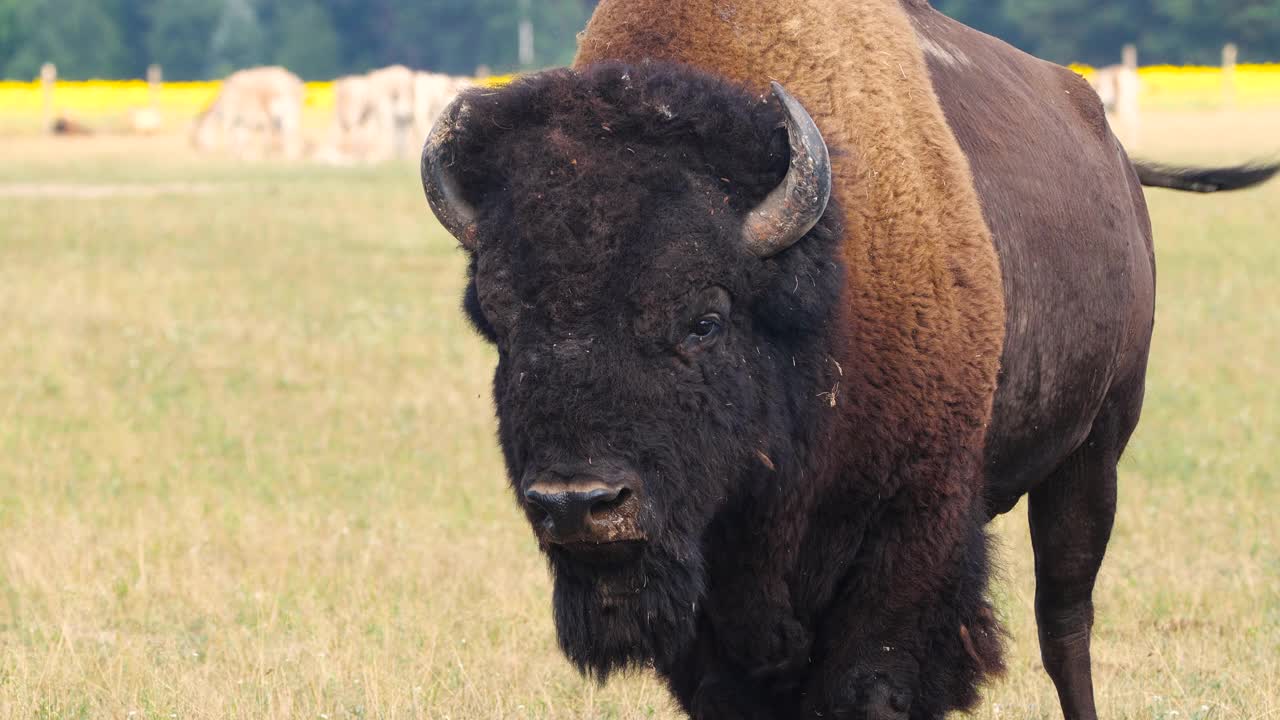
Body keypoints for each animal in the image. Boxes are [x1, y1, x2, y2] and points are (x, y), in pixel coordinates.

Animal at [422, 1, 1280, 717]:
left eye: (705, 320)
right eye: (500, 322)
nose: (579, 503)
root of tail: (1114, 156)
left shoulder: (908, 531)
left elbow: (875, 680)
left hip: (1094, 450)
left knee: (1064, 621)